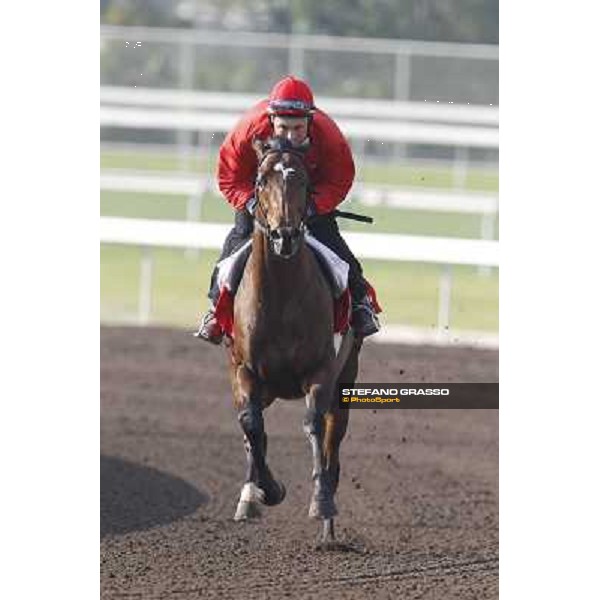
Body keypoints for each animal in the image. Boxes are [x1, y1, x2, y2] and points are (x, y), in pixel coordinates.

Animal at [226, 136, 360, 544]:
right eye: (261, 181)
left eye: (302, 180)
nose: (284, 236)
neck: (281, 294)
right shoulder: (245, 371)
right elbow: (251, 426)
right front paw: (265, 492)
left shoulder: (321, 372)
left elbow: (313, 425)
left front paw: (321, 503)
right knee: (252, 430)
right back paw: (248, 496)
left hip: (345, 382)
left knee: (333, 445)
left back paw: (328, 528)